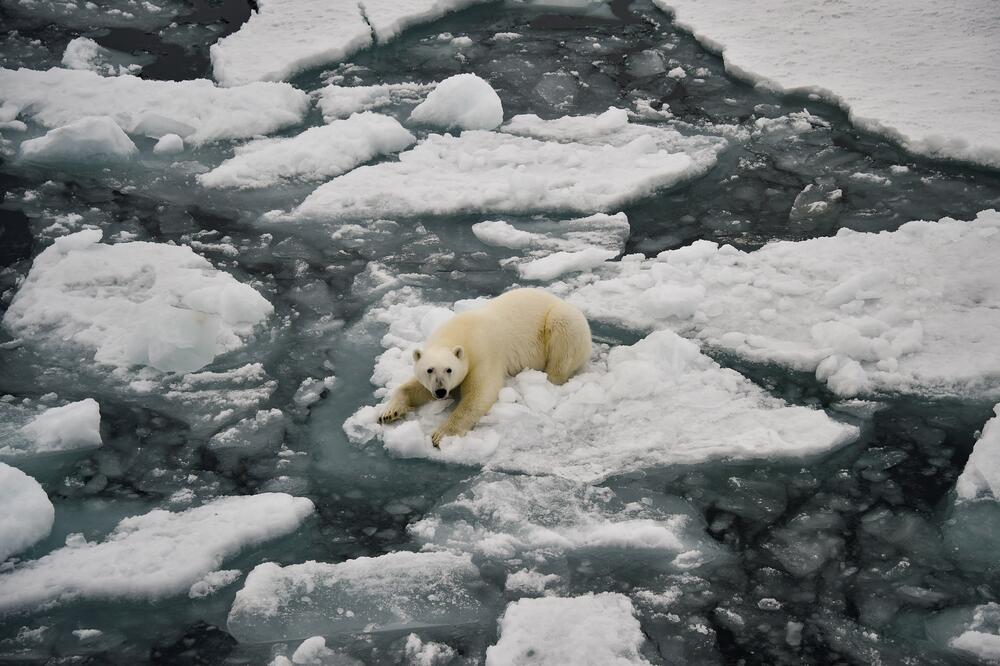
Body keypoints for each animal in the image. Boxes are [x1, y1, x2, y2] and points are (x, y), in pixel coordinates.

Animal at [378, 286, 588, 446]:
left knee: (562, 342)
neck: (459, 333)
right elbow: (414, 388)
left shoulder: (484, 354)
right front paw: (388, 413)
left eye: (449, 369)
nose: (440, 391)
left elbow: (479, 394)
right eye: (429, 370)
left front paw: (441, 435)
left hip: (560, 322)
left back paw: (550, 377)